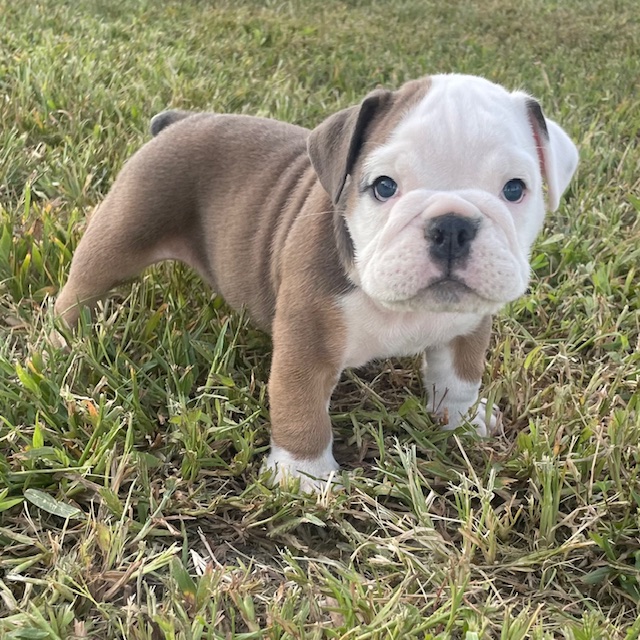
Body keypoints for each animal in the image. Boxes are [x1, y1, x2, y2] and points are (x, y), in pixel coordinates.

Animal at [55, 74, 578, 491]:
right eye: (384, 187)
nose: (451, 226)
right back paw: (65, 336)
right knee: (83, 281)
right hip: (126, 226)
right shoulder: (307, 338)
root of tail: (181, 120)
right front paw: (305, 477)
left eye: (515, 189)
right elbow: (301, 405)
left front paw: (464, 419)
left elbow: (459, 374)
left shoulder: (469, 324)